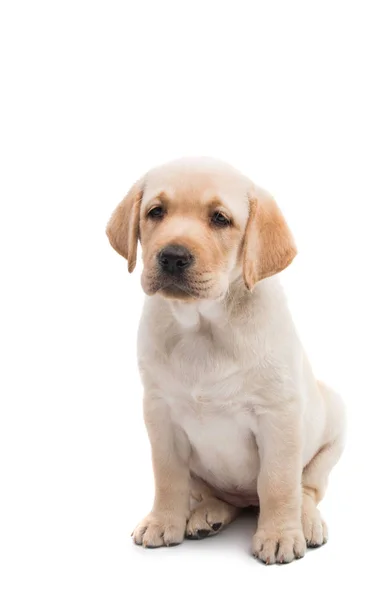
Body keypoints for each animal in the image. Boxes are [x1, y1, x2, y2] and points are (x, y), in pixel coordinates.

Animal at [106, 157, 344, 564]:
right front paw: (162, 520)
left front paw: (279, 535)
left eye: (220, 219)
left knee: (306, 488)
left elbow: (279, 483)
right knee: (219, 495)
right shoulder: (159, 412)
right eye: (156, 212)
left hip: (333, 425)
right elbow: (167, 476)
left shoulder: (278, 415)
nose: (172, 256)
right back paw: (208, 514)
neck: (204, 326)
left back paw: (305, 521)